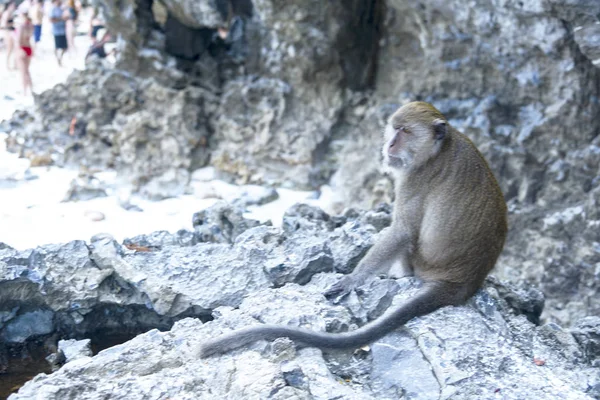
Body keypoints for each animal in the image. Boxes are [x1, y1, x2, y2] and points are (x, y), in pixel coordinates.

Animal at [199, 101, 508, 358]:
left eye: (406, 131)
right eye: (394, 129)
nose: (389, 145)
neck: (436, 152)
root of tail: (463, 282)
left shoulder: (415, 179)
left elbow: (402, 231)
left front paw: (353, 278)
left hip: (421, 262)